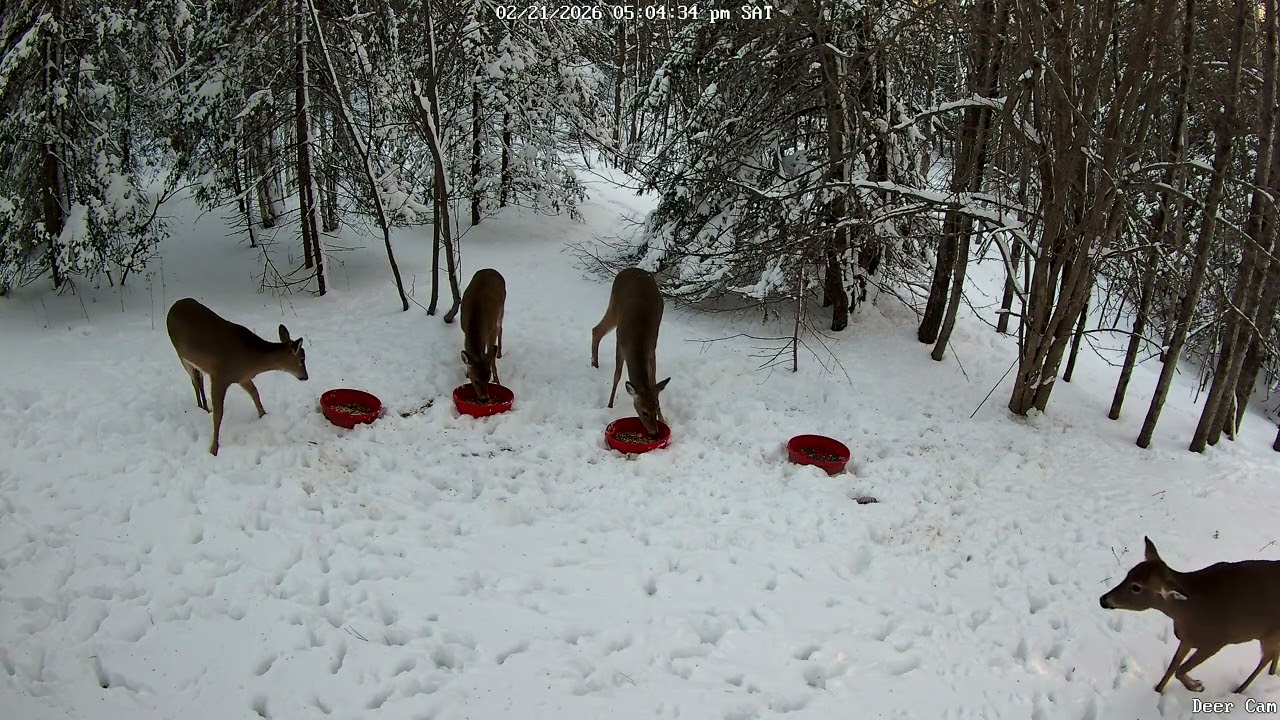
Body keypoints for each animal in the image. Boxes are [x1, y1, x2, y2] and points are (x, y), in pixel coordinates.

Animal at [166, 298, 309, 456]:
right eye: (302, 359)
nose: (306, 377)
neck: (251, 360)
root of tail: (174, 305)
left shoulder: (242, 378)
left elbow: (255, 393)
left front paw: (264, 416)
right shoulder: (219, 376)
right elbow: (219, 414)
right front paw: (213, 449)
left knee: (198, 380)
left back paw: (204, 407)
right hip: (181, 355)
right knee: (195, 381)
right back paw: (203, 408)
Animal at [460, 268, 506, 400]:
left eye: (488, 378)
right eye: (475, 380)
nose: (485, 399)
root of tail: (490, 269)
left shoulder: (491, 332)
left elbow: (491, 357)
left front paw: (497, 380)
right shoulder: (464, 329)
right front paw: (466, 372)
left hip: (501, 308)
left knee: (500, 328)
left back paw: (499, 353)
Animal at [590, 267, 670, 436]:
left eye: (657, 407)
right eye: (643, 412)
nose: (654, 433)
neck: (637, 341)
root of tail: (631, 269)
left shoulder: (652, 349)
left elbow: (653, 379)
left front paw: (663, 419)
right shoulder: (620, 343)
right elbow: (617, 374)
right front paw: (609, 405)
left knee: (597, 329)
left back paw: (595, 364)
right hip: (614, 306)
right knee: (597, 329)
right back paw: (594, 365)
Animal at [1100, 536, 1280, 695]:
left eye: (1136, 587)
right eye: (1128, 574)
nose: (1103, 599)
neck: (1189, 612)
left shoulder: (1216, 640)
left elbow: (1179, 670)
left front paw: (1197, 686)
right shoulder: (1187, 638)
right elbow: (1173, 666)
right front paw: (1158, 690)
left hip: (1268, 633)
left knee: (1267, 656)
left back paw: (1239, 689)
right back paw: (1270, 676)